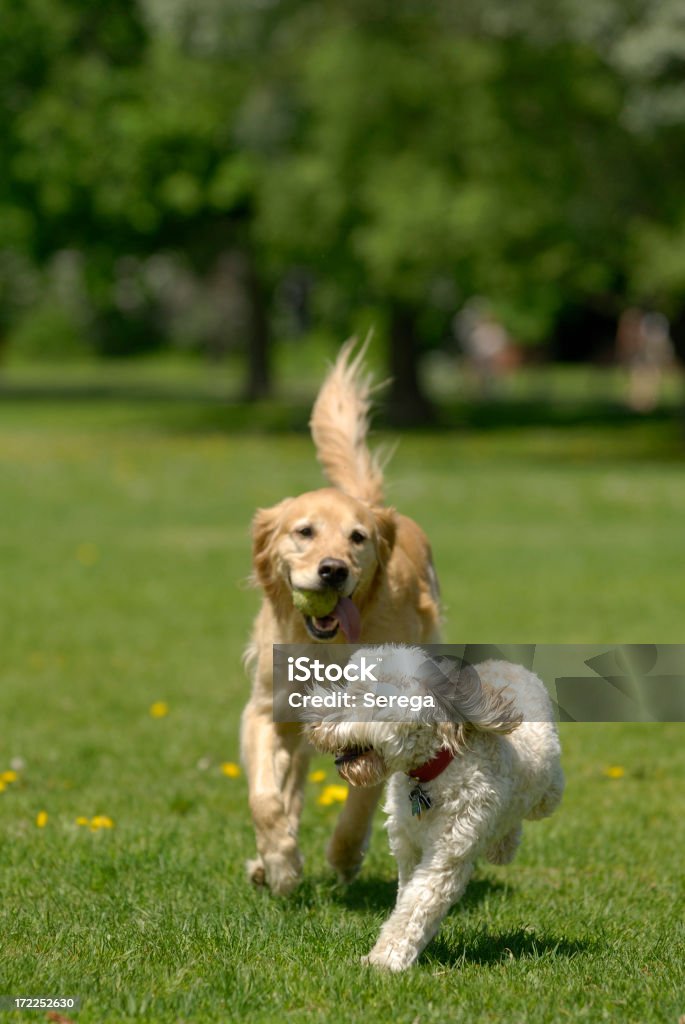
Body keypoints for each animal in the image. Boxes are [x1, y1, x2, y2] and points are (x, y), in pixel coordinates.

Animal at [307, 643, 565, 970]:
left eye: (367, 695)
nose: (313, 720)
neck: (430, 774)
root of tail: (506, 665)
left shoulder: (447, 854)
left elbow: (418, 903)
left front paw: (384, 959)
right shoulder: (406, 846)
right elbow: (407, 897)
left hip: (548, 790)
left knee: (530, 807)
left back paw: (503, 845)